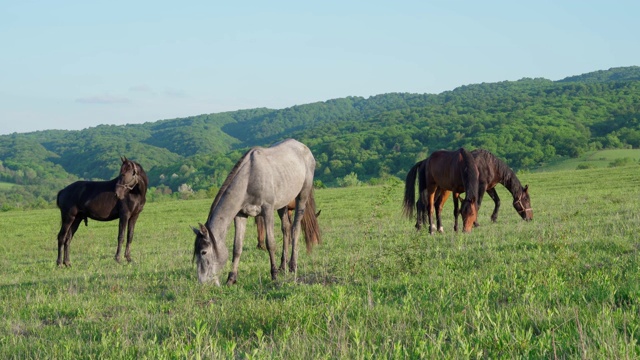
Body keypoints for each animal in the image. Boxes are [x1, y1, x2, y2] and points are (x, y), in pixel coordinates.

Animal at [190, 139, 320, 286]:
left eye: (204, 252)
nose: (202, 282)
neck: (249, 179)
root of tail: (303, 147)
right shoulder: (240, 215)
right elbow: (237, 247)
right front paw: (231, 278)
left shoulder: (267, 211)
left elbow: (270, 243)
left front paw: (274, 275)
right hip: (283, 204)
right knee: (286, 229)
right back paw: (283, 266)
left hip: (302, 197)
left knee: (295, 228)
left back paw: (292, 265)